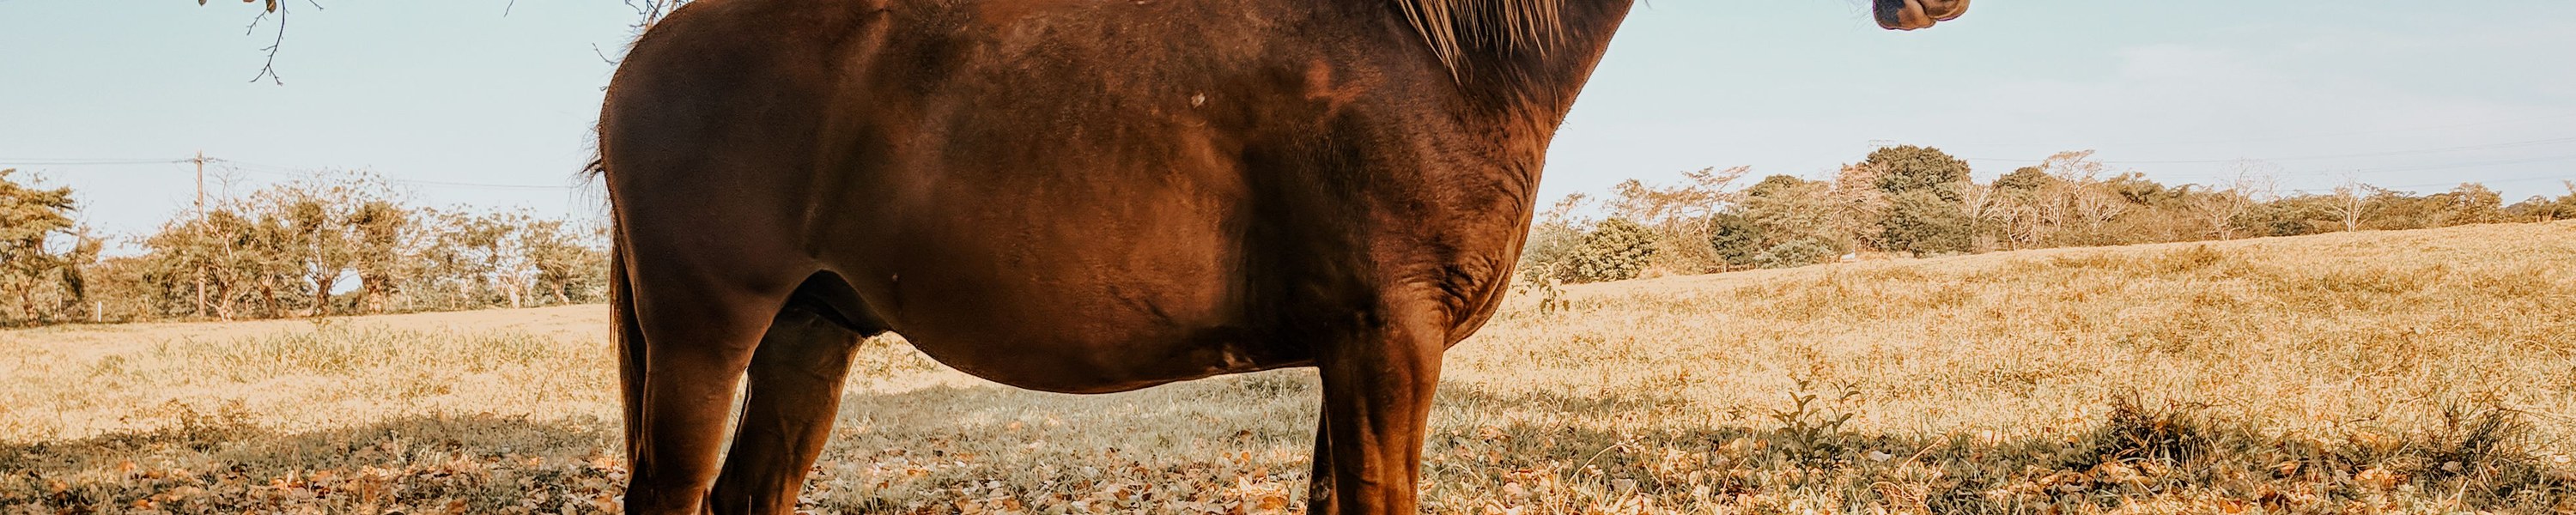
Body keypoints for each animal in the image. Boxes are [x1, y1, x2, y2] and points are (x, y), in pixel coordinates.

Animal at [592, 0, 1967, 512]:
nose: (1934, 7)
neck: (1439, 51)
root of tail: (648, 51)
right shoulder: (1388, 340)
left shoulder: (1355, 353)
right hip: (709, 337)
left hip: (810, 334)